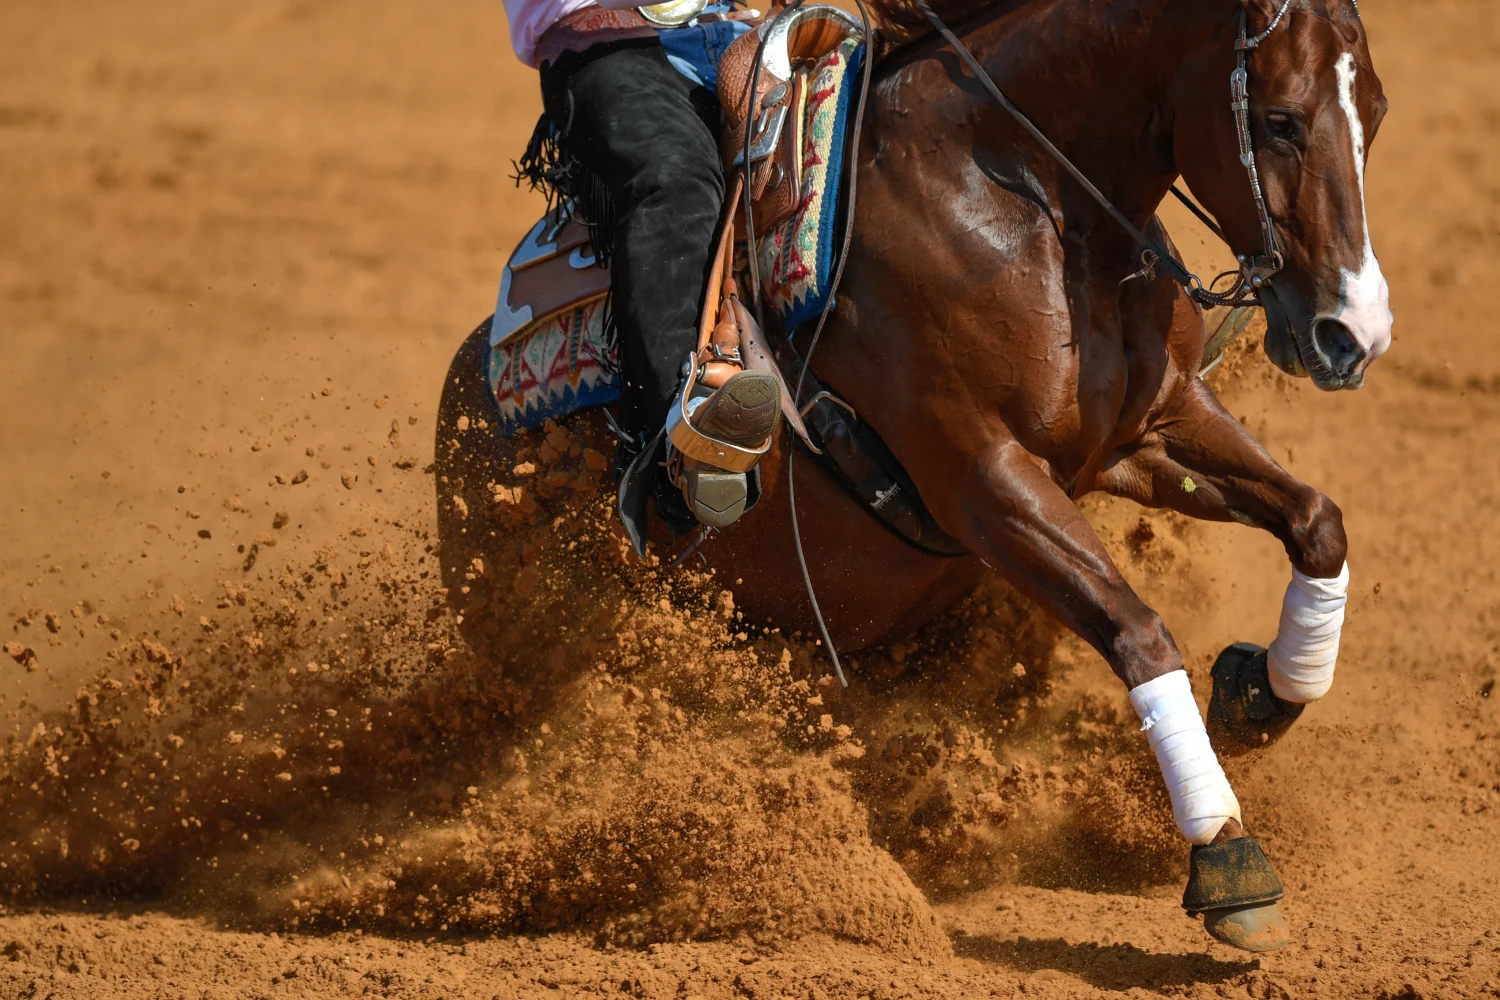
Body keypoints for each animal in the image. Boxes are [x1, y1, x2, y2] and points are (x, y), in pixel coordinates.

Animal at [435, 0, 1392, 953]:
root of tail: (468, 395)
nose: (1355, 334)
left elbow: (1319, 523)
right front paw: (1226, 852)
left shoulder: (1154, 430)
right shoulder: (982, 479)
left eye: (1375, 115)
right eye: (1280, 119)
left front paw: (1259, 693)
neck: (1021, 201)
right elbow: (1140, 632)